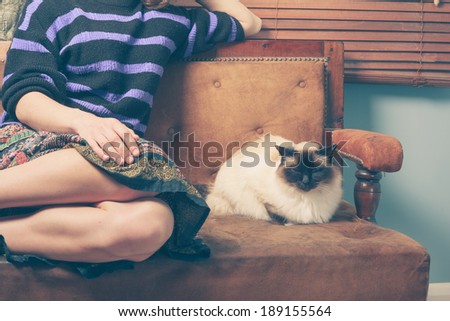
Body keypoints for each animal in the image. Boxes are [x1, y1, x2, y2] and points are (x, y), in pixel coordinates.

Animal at [206, 134, 342, 224]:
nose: (305, 182)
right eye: (297, 171)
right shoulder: (260, 196)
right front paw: (289, 223)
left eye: (315, 171)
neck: (306, 199)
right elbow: (279, 216)